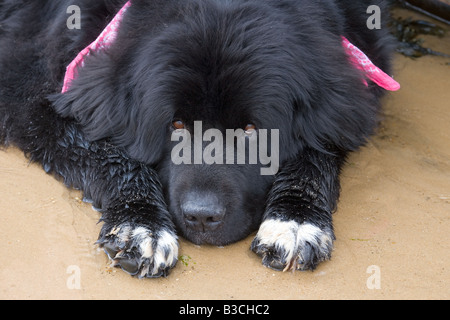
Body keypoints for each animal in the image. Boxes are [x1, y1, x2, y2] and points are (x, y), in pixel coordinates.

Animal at [1, 0, 400, 278]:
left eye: (252, 130)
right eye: (176, 124)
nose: (202, 216)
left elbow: (316, 152)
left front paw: (296, 220)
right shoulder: (32, 95)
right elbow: (109, 154)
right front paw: (141, 224)